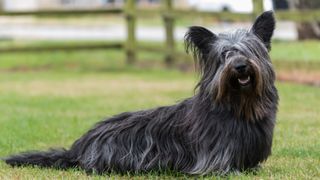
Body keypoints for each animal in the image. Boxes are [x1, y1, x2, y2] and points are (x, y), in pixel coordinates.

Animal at [3, 10, 278, 174]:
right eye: (224, 55)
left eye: (251, 50)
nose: (240, 66)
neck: (238, 105)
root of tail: (77, 149)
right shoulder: (213, 161)